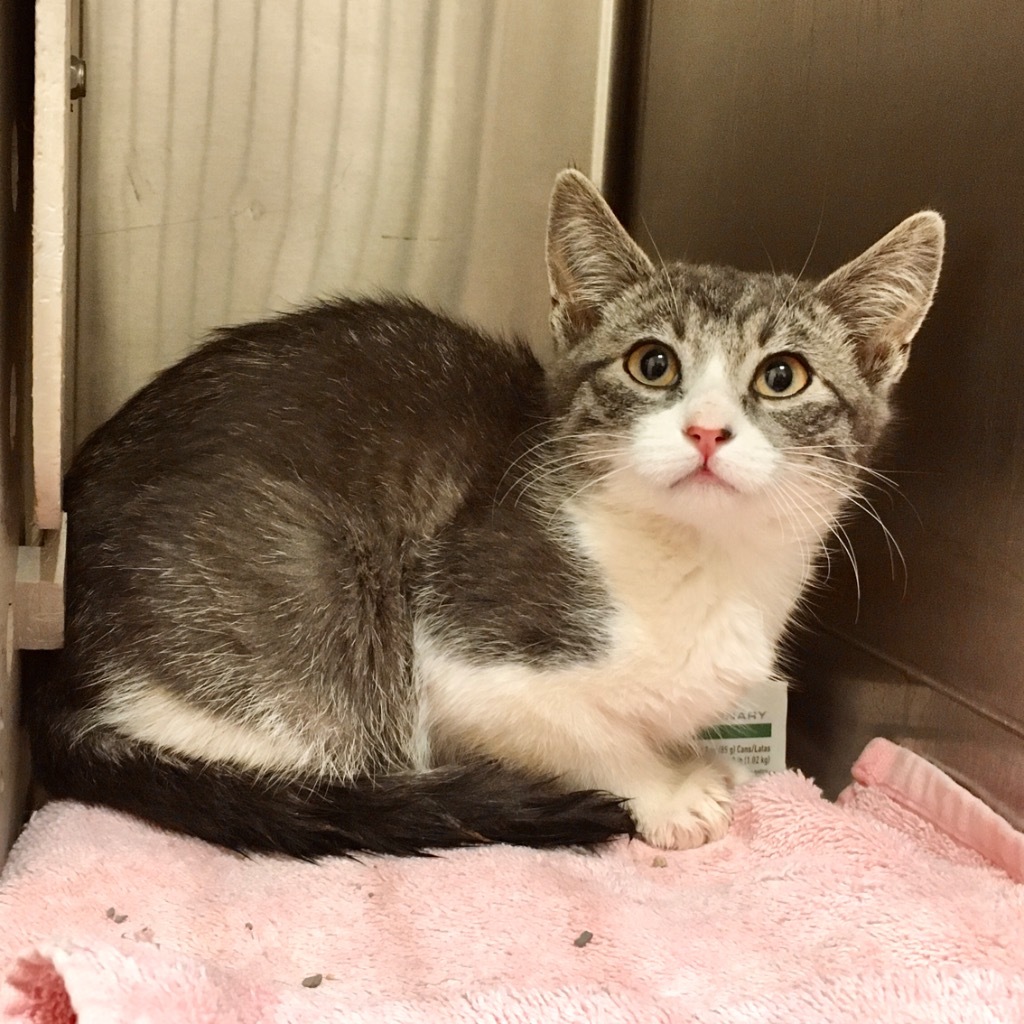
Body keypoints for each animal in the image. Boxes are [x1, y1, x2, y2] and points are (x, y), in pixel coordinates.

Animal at [28, 169, 942, 856]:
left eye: (783, 376)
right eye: (652, 363)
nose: (707, 430)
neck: (697, 559)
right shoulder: (463, 654)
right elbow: (584, 731)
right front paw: (669, 789)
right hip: (315, 596)